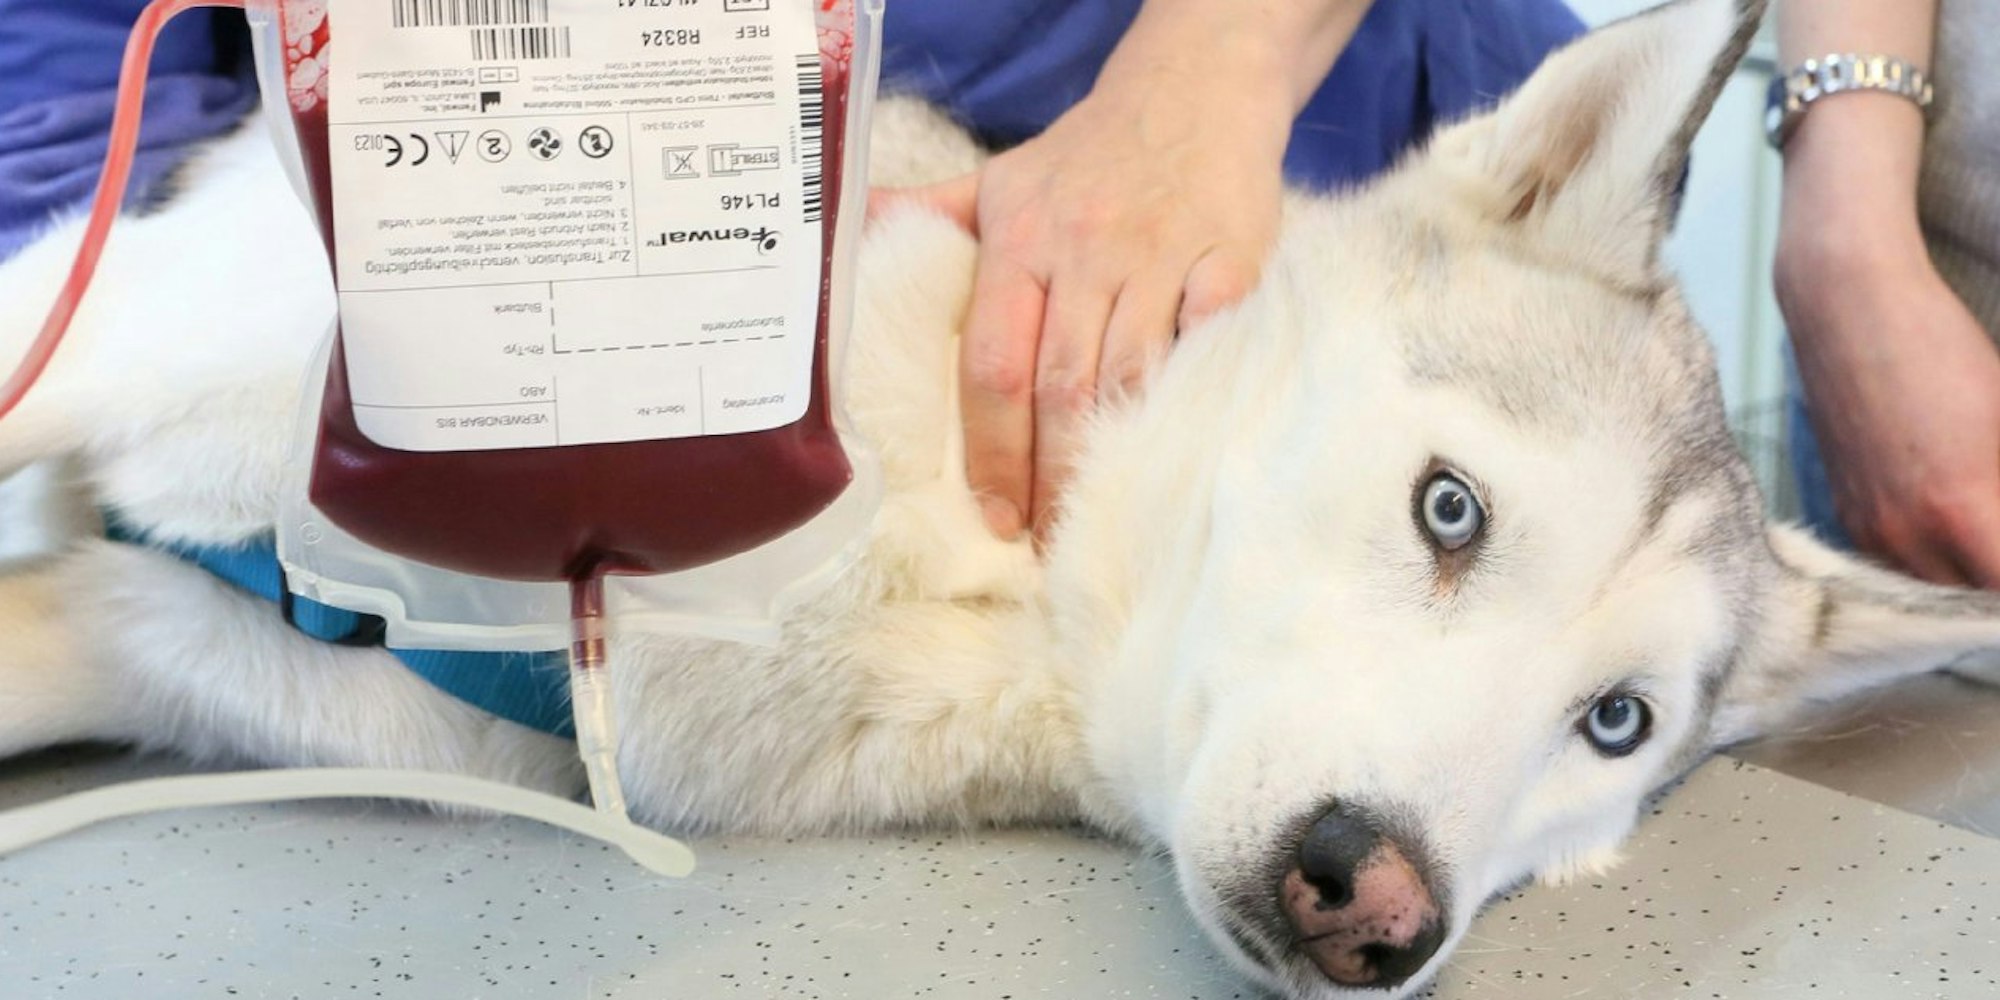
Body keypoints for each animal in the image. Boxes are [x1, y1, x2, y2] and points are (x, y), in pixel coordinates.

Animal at [4, 0, 1996, 995]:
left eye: (1615, 723)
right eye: (1454, 514)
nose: (1376, 907)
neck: (978, 572)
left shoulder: (168, 641)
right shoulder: (110, 343)